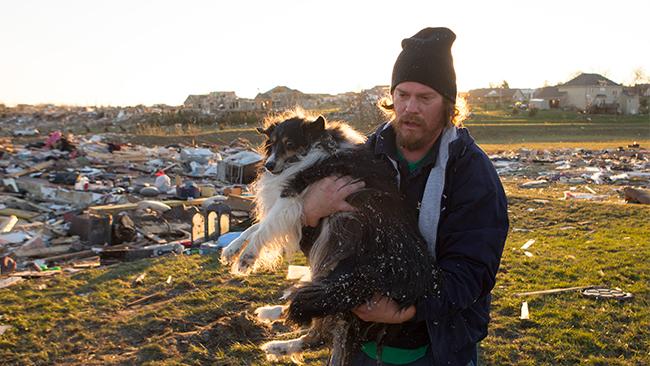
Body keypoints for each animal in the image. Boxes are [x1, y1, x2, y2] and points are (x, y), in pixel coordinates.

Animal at [220, 111, 438, 366]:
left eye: (289, 144)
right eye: (272, 143)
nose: (269, 165)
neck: (315, 147)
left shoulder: (292, 196)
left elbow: (263, 228)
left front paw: (247, 258)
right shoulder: (299, 205)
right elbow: (253, 228)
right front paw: (232, 250)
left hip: (337, 278)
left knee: (318, 330)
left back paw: (278, 344)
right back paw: (272, 317)